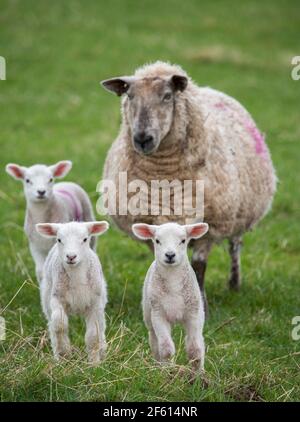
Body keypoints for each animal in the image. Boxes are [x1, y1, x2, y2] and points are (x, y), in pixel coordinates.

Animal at [101, 61, 276, 314]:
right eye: (130, 96)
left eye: (167, 96)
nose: (142, 138)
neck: (164, 177)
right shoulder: (151, 223)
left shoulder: (210, 225)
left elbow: (198, 266)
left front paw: (200, 303)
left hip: (238, 212)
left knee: (235, 246)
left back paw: (234, 283)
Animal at [132, 223, 210, 378]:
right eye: (157, 241)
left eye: (183, 241)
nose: (169, 255)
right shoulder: (159, 314)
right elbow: (166, 349)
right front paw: (168, 373)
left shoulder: (193, 315)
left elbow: (195, 349)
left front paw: (199, 376)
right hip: (148, 315)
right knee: (154, 342)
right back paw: (157, 365)